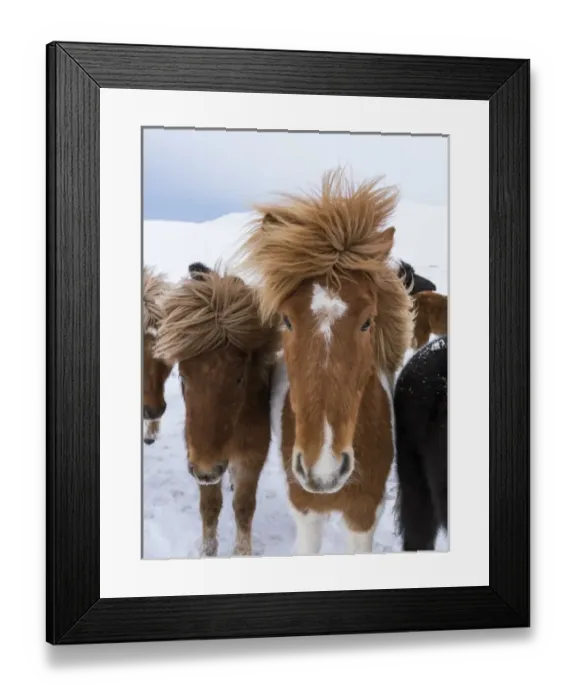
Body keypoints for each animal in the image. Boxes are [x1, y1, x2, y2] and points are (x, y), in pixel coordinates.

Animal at [153, 267, 281, 557]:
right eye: (183, 376)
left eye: (239, 377)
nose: (207, 469)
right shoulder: (197, 454)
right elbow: (210, 508)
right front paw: (207, 551)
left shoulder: (252, 456)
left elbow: (244, 506)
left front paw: (242, 552)